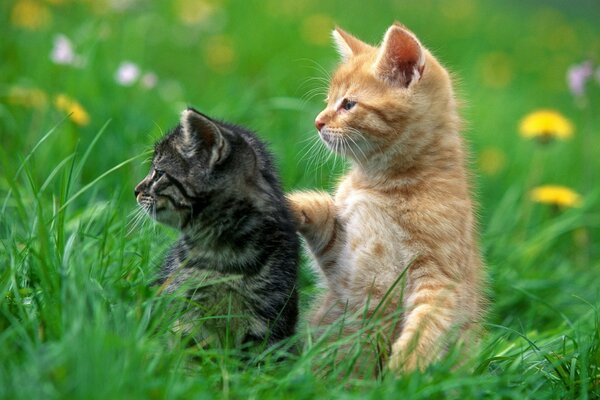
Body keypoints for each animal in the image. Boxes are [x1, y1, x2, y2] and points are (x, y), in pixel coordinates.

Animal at [288, 21, 486, 372]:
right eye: (327, 100)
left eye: (348, 104)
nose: (318, 121)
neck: (382, 184)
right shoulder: (340, 258)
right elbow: (320, 210)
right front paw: (282, 201)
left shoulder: (440, 276)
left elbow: (427, 323)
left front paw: (405, 367)